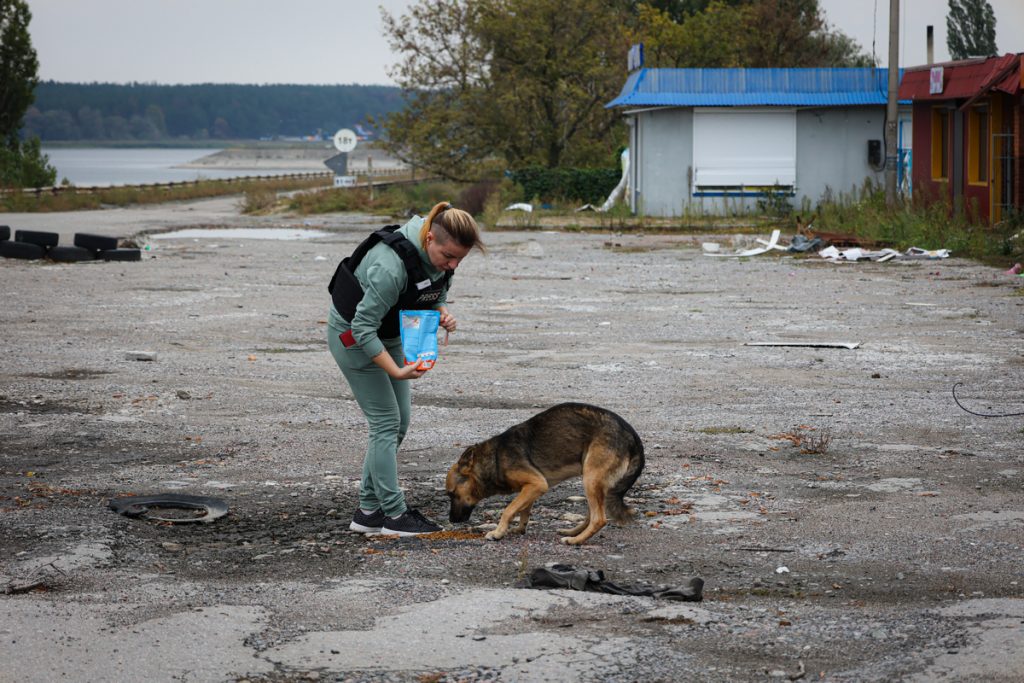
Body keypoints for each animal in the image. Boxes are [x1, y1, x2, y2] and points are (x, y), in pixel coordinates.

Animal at [444, 405, 643, 544]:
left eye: (451, 494)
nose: (451, 520)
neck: (495, 458)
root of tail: (632, 436)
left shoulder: (537, 484)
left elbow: (509, 510)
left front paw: (498, 532)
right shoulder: (531, 487)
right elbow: (523, 509)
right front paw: (519, 528)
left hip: (591, 479)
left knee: (599, 519)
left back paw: (575, 541)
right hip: (594, 483)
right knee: (593, 515)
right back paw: (572, 532)